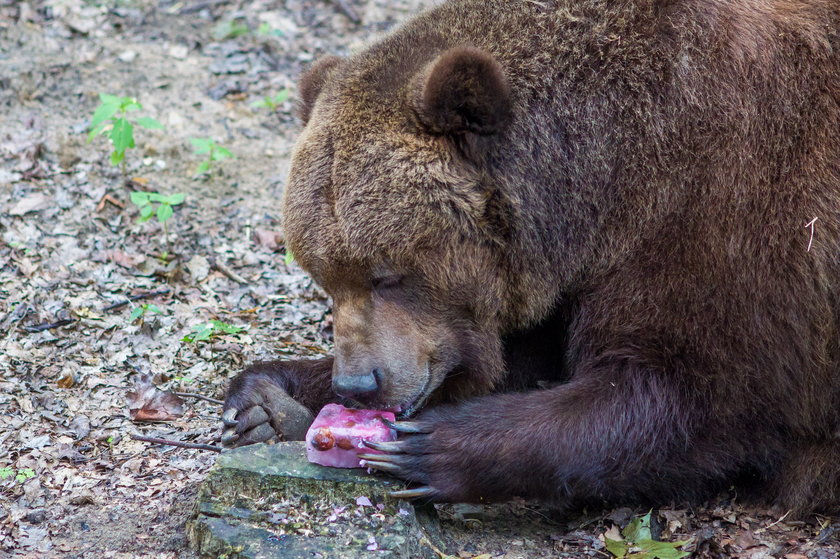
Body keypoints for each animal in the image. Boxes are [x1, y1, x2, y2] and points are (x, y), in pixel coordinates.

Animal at [221, 0, 840, 516]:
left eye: (388, 274)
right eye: (324, 277)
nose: (358, 385)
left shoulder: (729, 213)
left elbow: (693, 389)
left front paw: (436, 448)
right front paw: (265, 400)